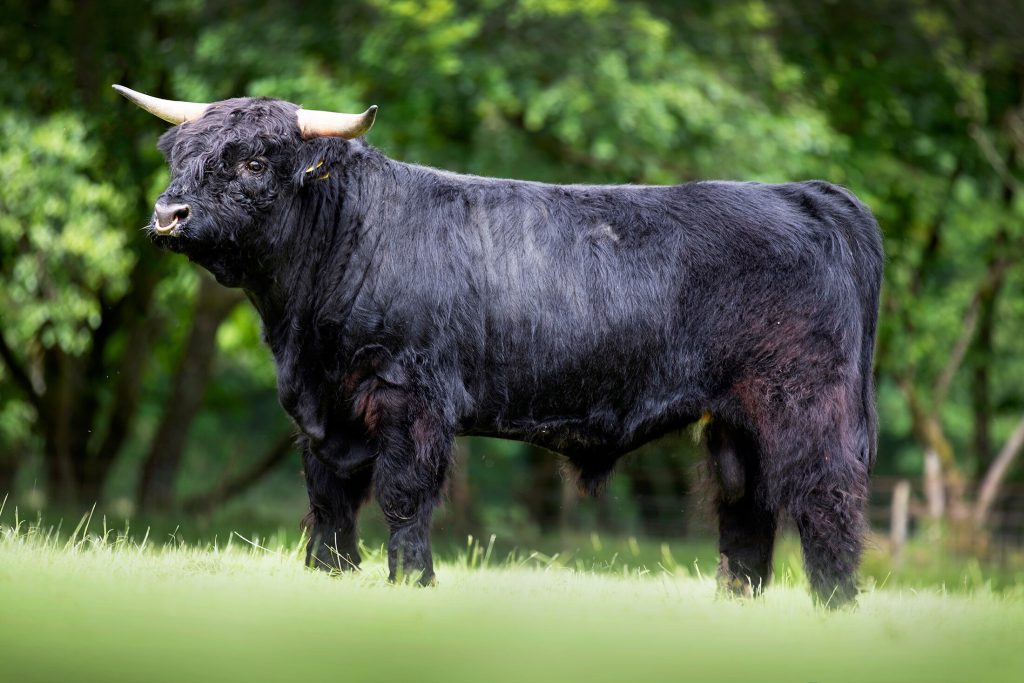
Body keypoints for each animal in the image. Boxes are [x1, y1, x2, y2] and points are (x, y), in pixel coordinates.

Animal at [130, 94, 880, 602]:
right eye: (179, 157)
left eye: (255, 162)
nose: (168, 214)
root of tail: (804, 194)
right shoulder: (323, 411)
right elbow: (329, 500)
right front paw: (328, 577)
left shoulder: (408, 396)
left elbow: (403, 496)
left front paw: (413, 582)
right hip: (735, 422)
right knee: (746, 510)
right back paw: (736, 606)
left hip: (805, 400)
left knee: (826, 497)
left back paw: (834, 607)